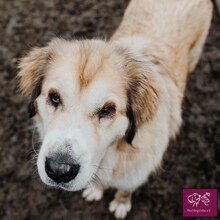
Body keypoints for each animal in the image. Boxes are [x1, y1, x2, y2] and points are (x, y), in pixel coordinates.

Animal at [17, 0, 213, 218]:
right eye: (54, 97)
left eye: (107, 109)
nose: (59, 170)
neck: (115, 152)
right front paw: (95, 189)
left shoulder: (135, 175)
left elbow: (125, 190)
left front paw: (121, 203)